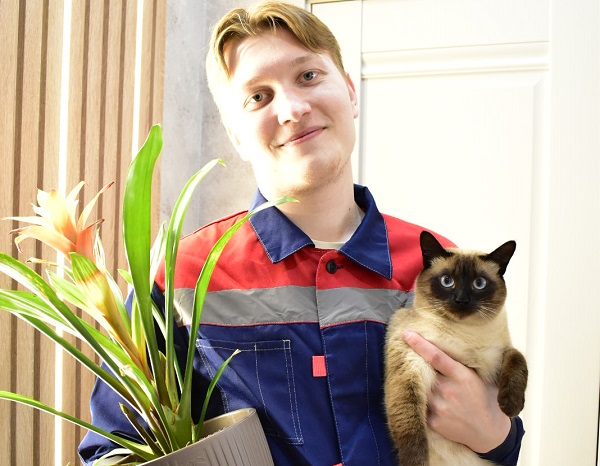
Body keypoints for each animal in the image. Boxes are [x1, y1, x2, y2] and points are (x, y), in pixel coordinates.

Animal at [384, 230, 528, 466]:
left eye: (479, 283)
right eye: (447, 281)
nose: (461, 300)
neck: (464, 334)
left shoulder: (500, 352)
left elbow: (518, 358)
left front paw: (510, 406)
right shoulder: (410, 367)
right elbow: (411, 429)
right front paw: (416, 462)